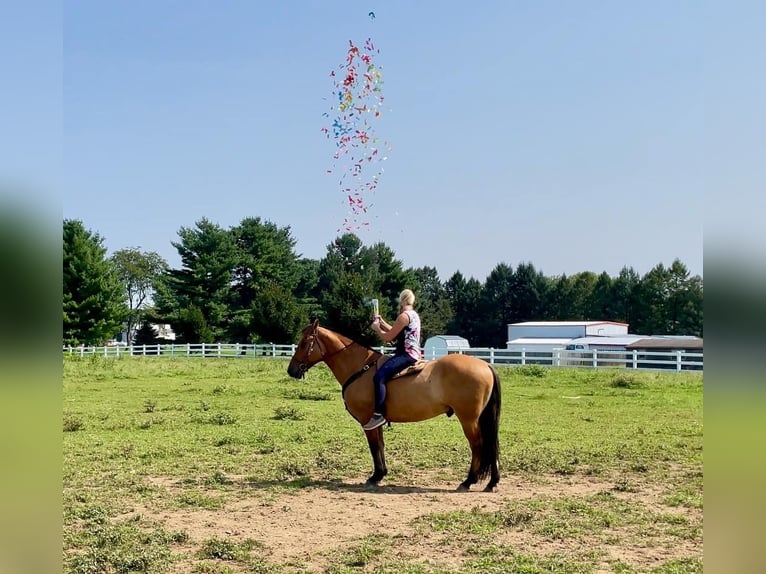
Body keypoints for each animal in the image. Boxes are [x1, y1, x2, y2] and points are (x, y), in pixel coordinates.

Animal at [284, 322, 500, 492]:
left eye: (304, 343)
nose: (291, 370)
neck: (360, 368)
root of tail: (486, 365)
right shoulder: (376, 421)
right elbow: (380, 445)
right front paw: (381, 474)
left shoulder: (367, 420)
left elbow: (373, 447)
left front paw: (375, 476)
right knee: (491, 445)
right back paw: (492, 482)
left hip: (468, 419)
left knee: (478, 445)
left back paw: (468, 481)